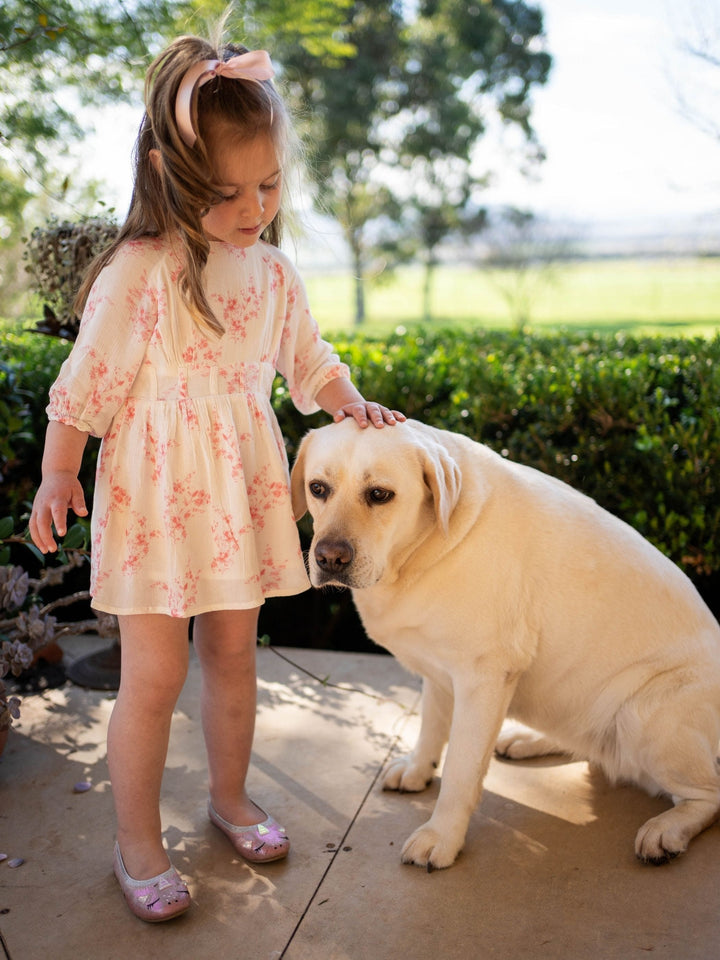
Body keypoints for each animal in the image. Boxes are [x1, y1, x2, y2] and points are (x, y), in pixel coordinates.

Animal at [290, 420, 720, 872]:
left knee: (708, 794)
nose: (329, 558)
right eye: (318, 488)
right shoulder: (440, 672)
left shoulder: (482, 679)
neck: (429, 547)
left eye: (379, 494)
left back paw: (667, 830)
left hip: (643, 716)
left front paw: (442, 836)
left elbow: (461, 769)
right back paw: (528, 740)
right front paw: (418, 769)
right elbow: (431, 726)